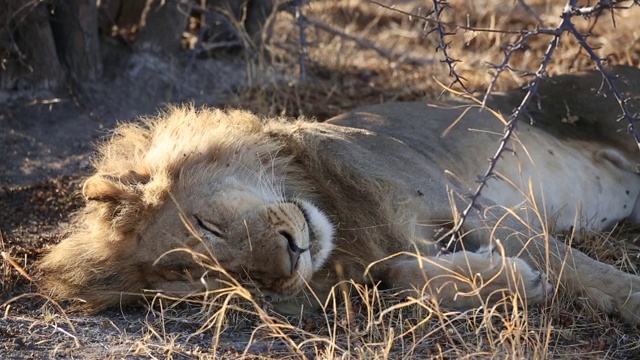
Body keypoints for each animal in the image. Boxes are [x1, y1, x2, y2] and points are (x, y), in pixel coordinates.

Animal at [38, 67, 640, 324]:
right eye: (231, 281)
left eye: (207, 225)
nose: (289, 257)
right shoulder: (376, 260)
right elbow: (403, 278)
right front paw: (513, 282)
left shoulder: (467, 201)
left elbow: (573, 265)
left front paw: (628, 297)